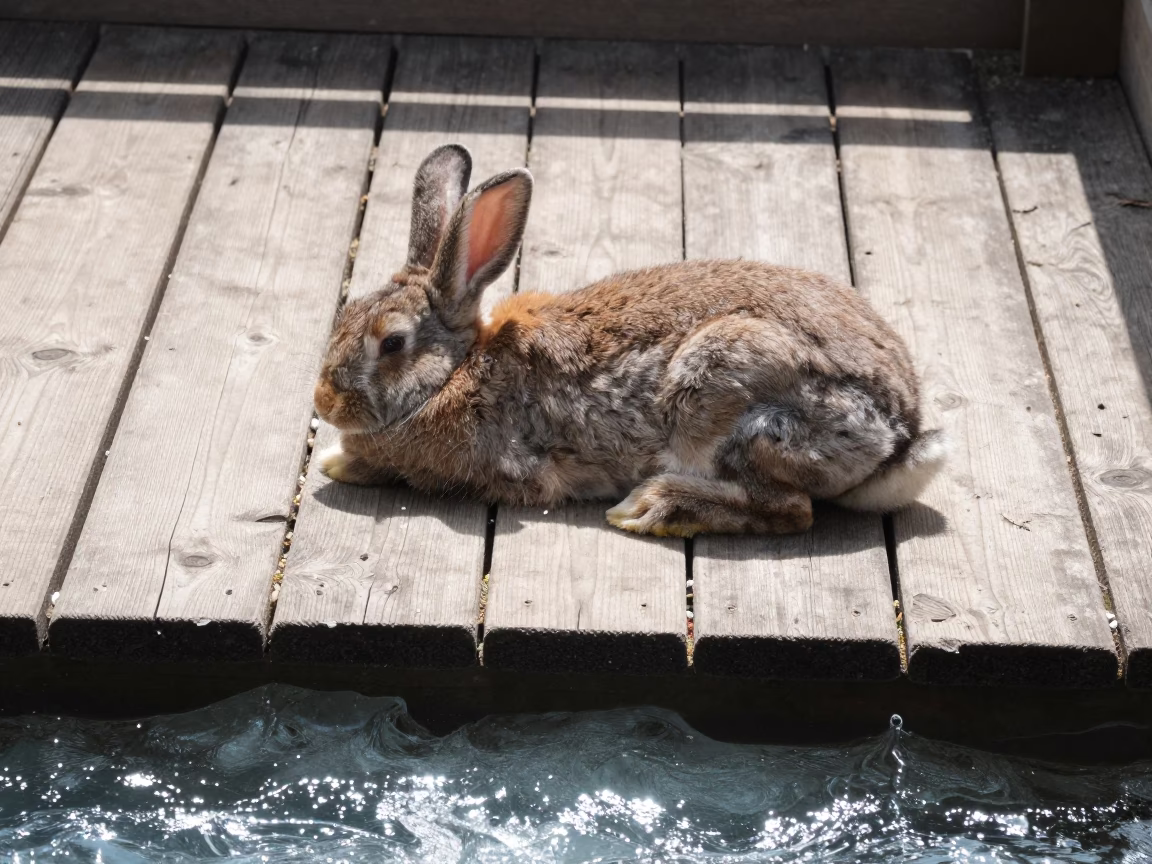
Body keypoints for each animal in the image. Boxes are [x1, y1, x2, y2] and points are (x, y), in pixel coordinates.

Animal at [313, 144, 947, 537]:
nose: (324, 403)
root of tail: (901, 434)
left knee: (791, 508)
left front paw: (341, 461)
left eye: (392, 344)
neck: (459, 369)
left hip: (723, 387)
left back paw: (657, 506)